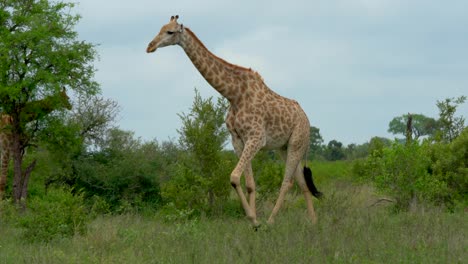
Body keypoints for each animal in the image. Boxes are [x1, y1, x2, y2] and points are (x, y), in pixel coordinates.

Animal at [146, 16, 322, 227]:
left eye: (170, 32)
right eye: (160, 28)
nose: (150, 46)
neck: (233, 95)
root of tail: (307, 119)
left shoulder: (256, 138)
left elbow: (234, 177)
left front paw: (255, 221)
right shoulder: (238, 139)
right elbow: (249, 184)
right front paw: (253, 222)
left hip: (297, 143)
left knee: (287, 182)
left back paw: (271, 221)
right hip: (284, 147)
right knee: (302, 182)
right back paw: (313, 222)